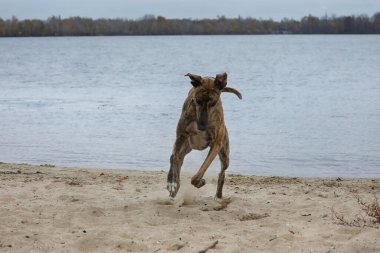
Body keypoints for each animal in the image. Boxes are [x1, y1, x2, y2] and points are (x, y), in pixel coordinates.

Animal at [167, 72, 243, 200]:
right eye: (197, 101)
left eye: (213, 103)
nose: (202, 127)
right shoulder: (180, 137)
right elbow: (174, 159)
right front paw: (172, 183)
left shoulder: (216, 144)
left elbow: (203, 167)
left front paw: (198, 182)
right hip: (186, 147)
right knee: (175, 159)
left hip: (225, 154)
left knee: (222, 173)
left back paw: (218, 195)